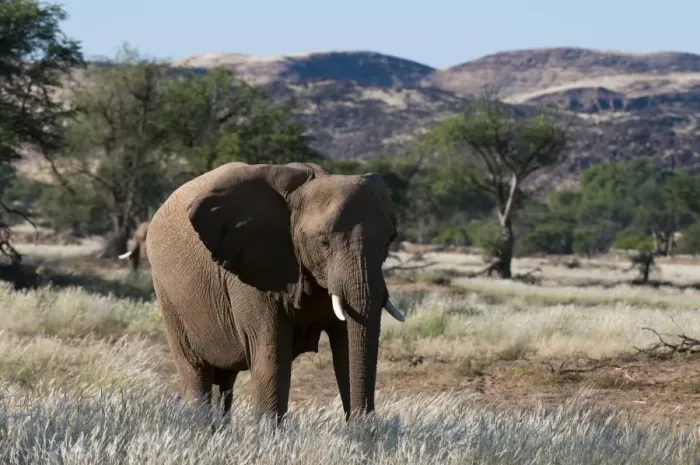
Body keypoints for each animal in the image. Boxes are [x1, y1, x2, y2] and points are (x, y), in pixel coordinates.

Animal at [146, 161, 405, 424]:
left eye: (389, 241)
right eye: (323, 242)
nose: (365, 426)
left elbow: (345, 350)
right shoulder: (252, 270)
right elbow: (271, 356)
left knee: (225, 381)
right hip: (168, 296)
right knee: (196, 372)